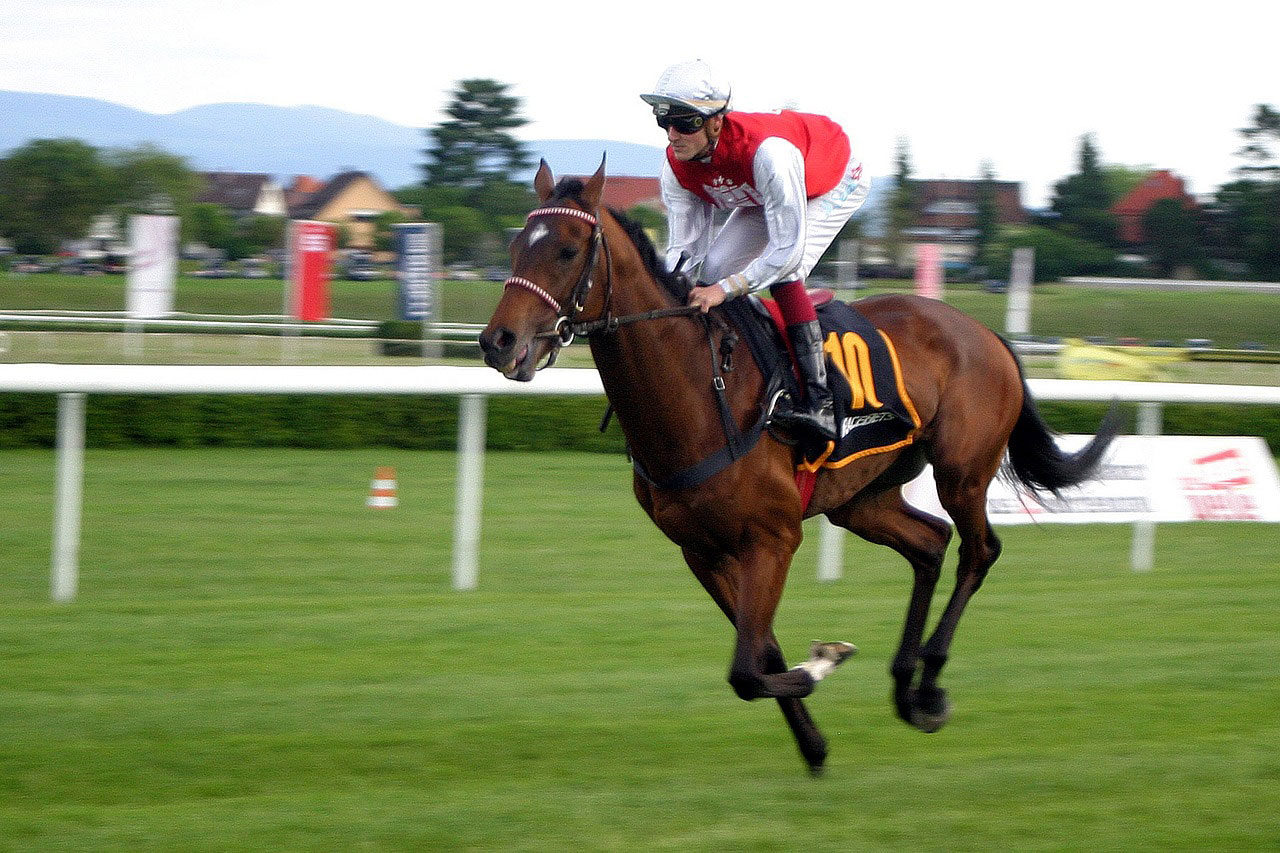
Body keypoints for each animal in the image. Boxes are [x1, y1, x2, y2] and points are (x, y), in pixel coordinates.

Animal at [481, 159, 1121, 768]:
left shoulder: (772, 537)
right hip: (862, 499)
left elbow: (747, 670)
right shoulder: (701, 550)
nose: (498, 342)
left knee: (978, 550)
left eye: (566, 251)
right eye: (514, 248)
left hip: (961, 471)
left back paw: (929, 688)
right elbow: (761, 653)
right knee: (930, 544)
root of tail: (986, 332)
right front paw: (813, 744)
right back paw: (905, 685)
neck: (700, 391)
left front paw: (826, 660)